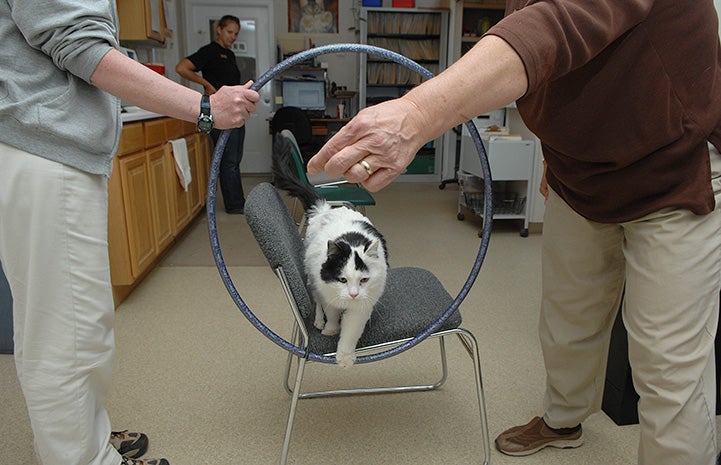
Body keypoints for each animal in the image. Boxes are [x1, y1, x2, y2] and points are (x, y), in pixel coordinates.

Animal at [272, 134, 388, 366]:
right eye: (342, 279)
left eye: (364, 280)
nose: (353, 294)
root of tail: (324, 208)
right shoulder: (328, 291)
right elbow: (332, 313)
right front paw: (330, 329)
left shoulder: (361, 307)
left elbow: (351, 331)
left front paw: (345, 358)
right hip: (312, 275)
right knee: (317, 299)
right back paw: (318, 321)